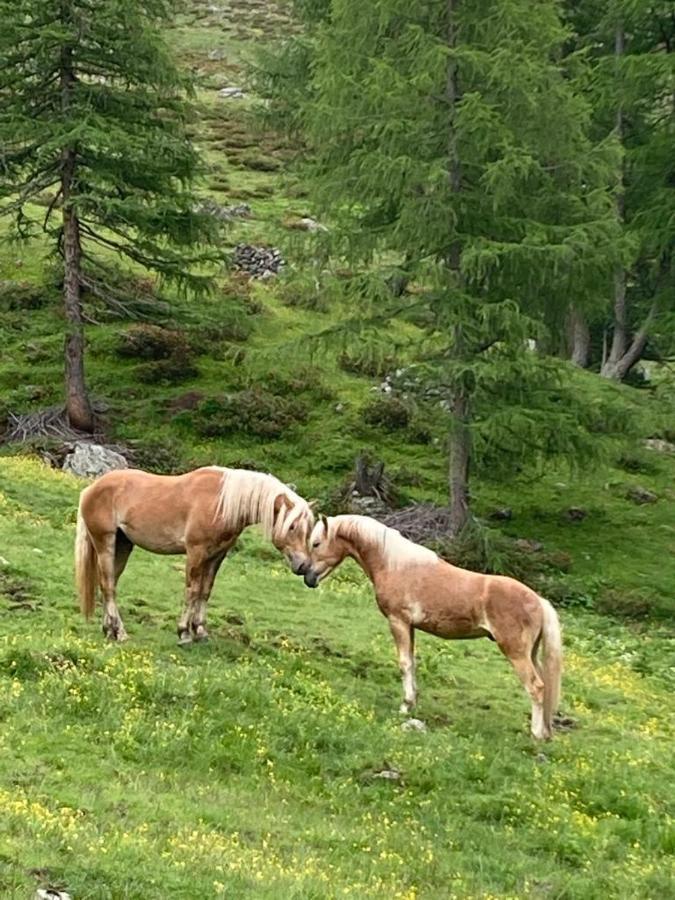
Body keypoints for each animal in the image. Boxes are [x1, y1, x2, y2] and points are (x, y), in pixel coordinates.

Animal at [76, 468, 314, 644]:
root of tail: (91, 489)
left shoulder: (216, 556)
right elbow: (191, 591)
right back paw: (120, 632)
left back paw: (109, 630)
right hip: (104, 542)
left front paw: (200, 630)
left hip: (123, 545)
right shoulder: (196, 552)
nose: (303, 565)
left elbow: (204, 591)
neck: (220, 502)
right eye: (292, 526)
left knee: (109, 585)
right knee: (108, 585)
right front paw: (184, 632)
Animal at [304, 512, 564, 740]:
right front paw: (412, 702)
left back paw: (536, 734)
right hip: (531, 653)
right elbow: (412, 663)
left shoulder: (398, 622)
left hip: (516, 652)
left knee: (536, 687)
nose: (306, 576)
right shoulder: (410, 627)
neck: (395, 564)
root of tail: (539, 601)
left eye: (316, 543)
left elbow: (404, 664)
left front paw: (405, 706)